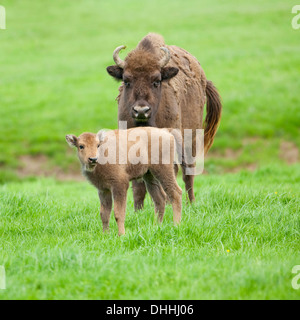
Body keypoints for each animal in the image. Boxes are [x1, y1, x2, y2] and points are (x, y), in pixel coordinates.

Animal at [106, 33, 221, 210]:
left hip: (191, 139)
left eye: (156, 81)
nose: (141, 110)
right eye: (126, 81)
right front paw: (138, 209)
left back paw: (190, 203)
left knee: (187, 172)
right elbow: (139, 183)